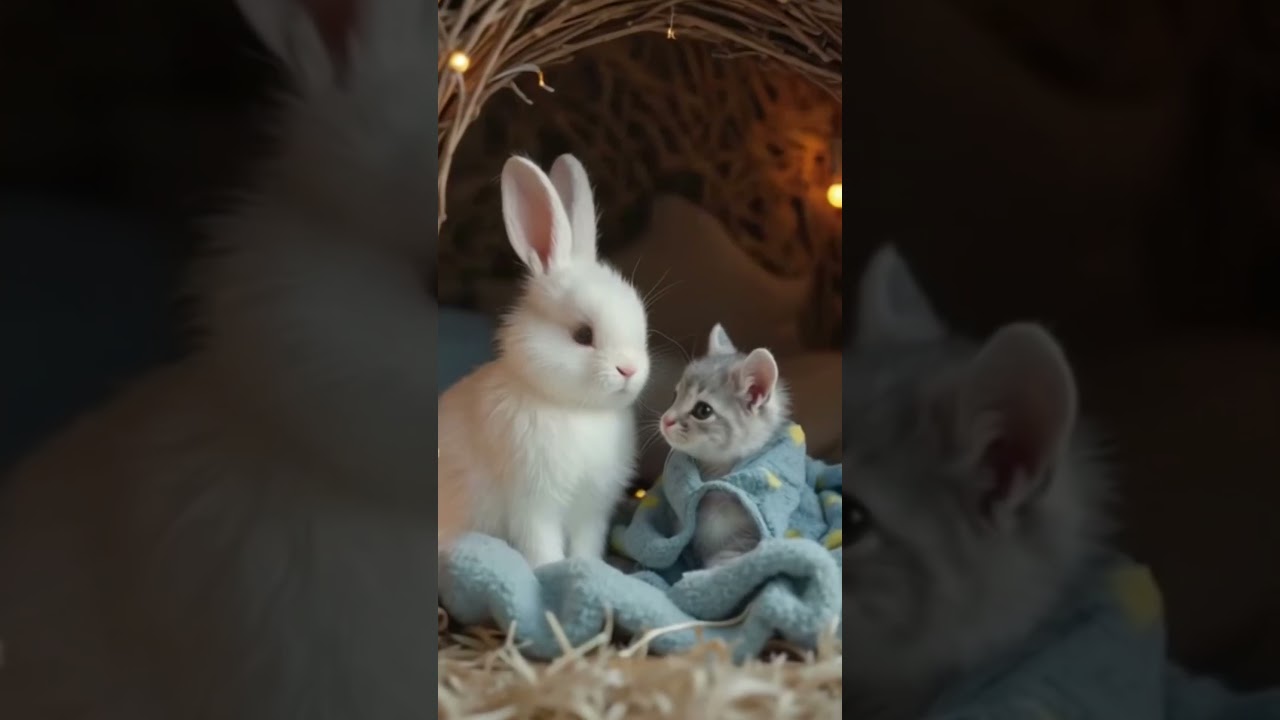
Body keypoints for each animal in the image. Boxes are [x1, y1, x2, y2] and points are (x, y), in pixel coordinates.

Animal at [437, 154, 652, 569]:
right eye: (583, 335)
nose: (629, 371)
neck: (577, 410)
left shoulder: (591, 511)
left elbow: (587, 545)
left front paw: (589, 567)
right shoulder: (533, 506)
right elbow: (541, 546)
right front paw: (550, 571)